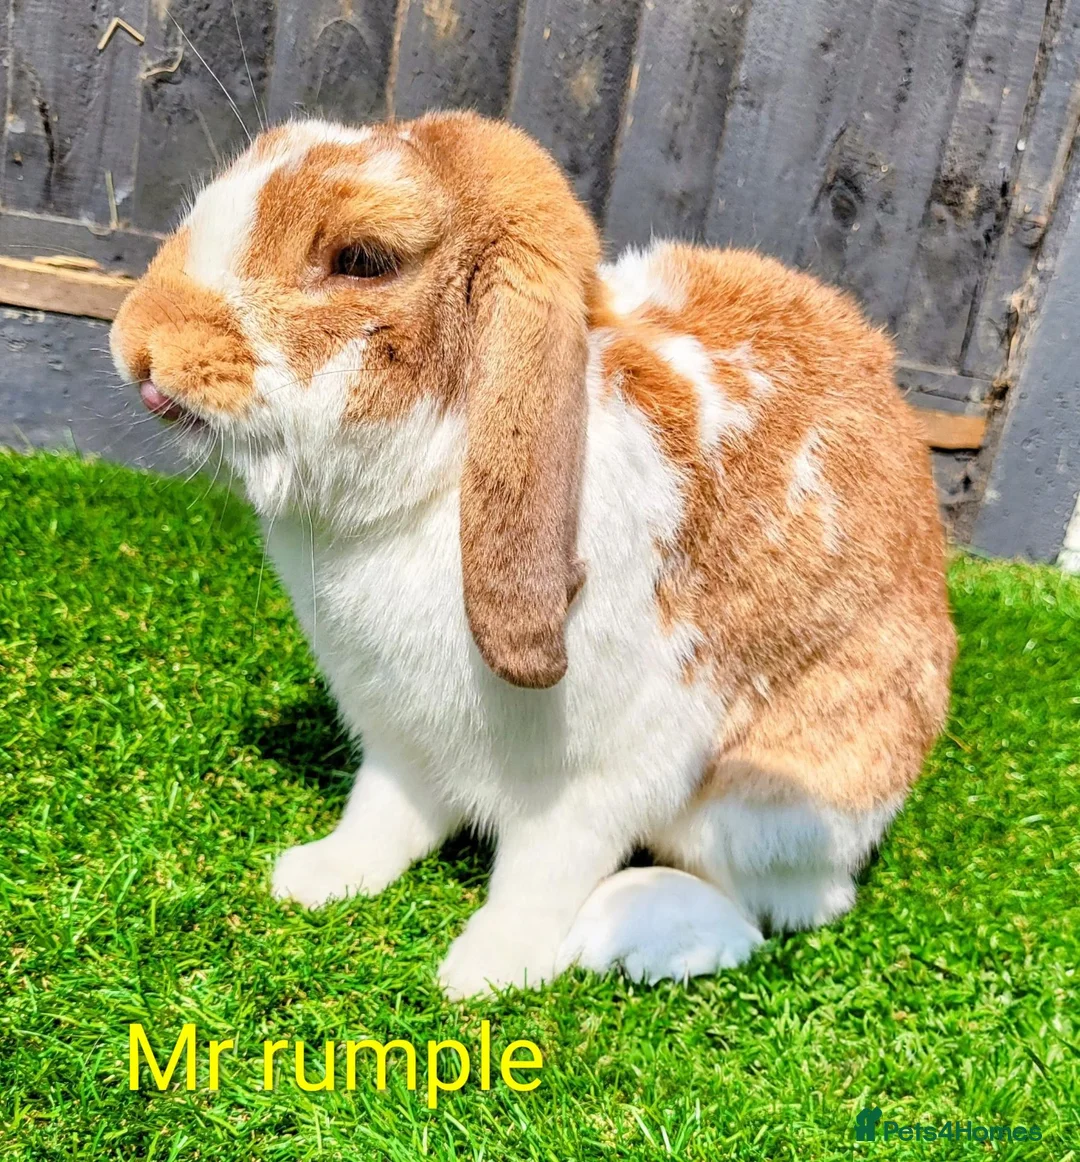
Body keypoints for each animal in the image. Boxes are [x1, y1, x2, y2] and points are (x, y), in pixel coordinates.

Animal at [110, 111, 956, 998]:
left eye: (362, 259)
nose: (136, 342)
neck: (434, 481)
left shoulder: (593, 787)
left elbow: (539, 877)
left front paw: (483, 974)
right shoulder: (400, 738)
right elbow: (382, 815)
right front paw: (319, 877)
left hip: (780, 796)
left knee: (773, 908)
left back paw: (637, 935)